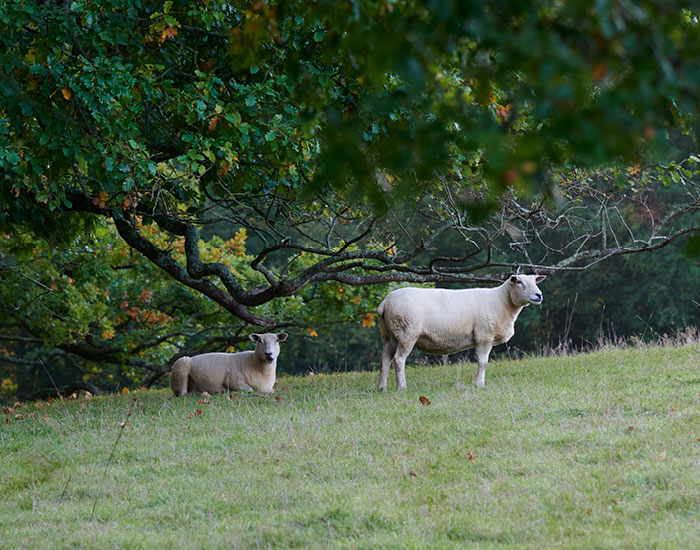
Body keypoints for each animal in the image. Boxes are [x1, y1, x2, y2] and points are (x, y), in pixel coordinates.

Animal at [378, 276, 548, 392]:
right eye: (519, 282)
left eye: (535, 281)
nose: (539, 295)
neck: (501, 301)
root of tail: (385, 302)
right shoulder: (484, 336)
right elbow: (483, 362)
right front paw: (479, 384)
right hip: (406, 332)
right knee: (398, 359)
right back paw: (402, 387)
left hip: (390, 335)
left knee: (385, 359)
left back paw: (382, 387)